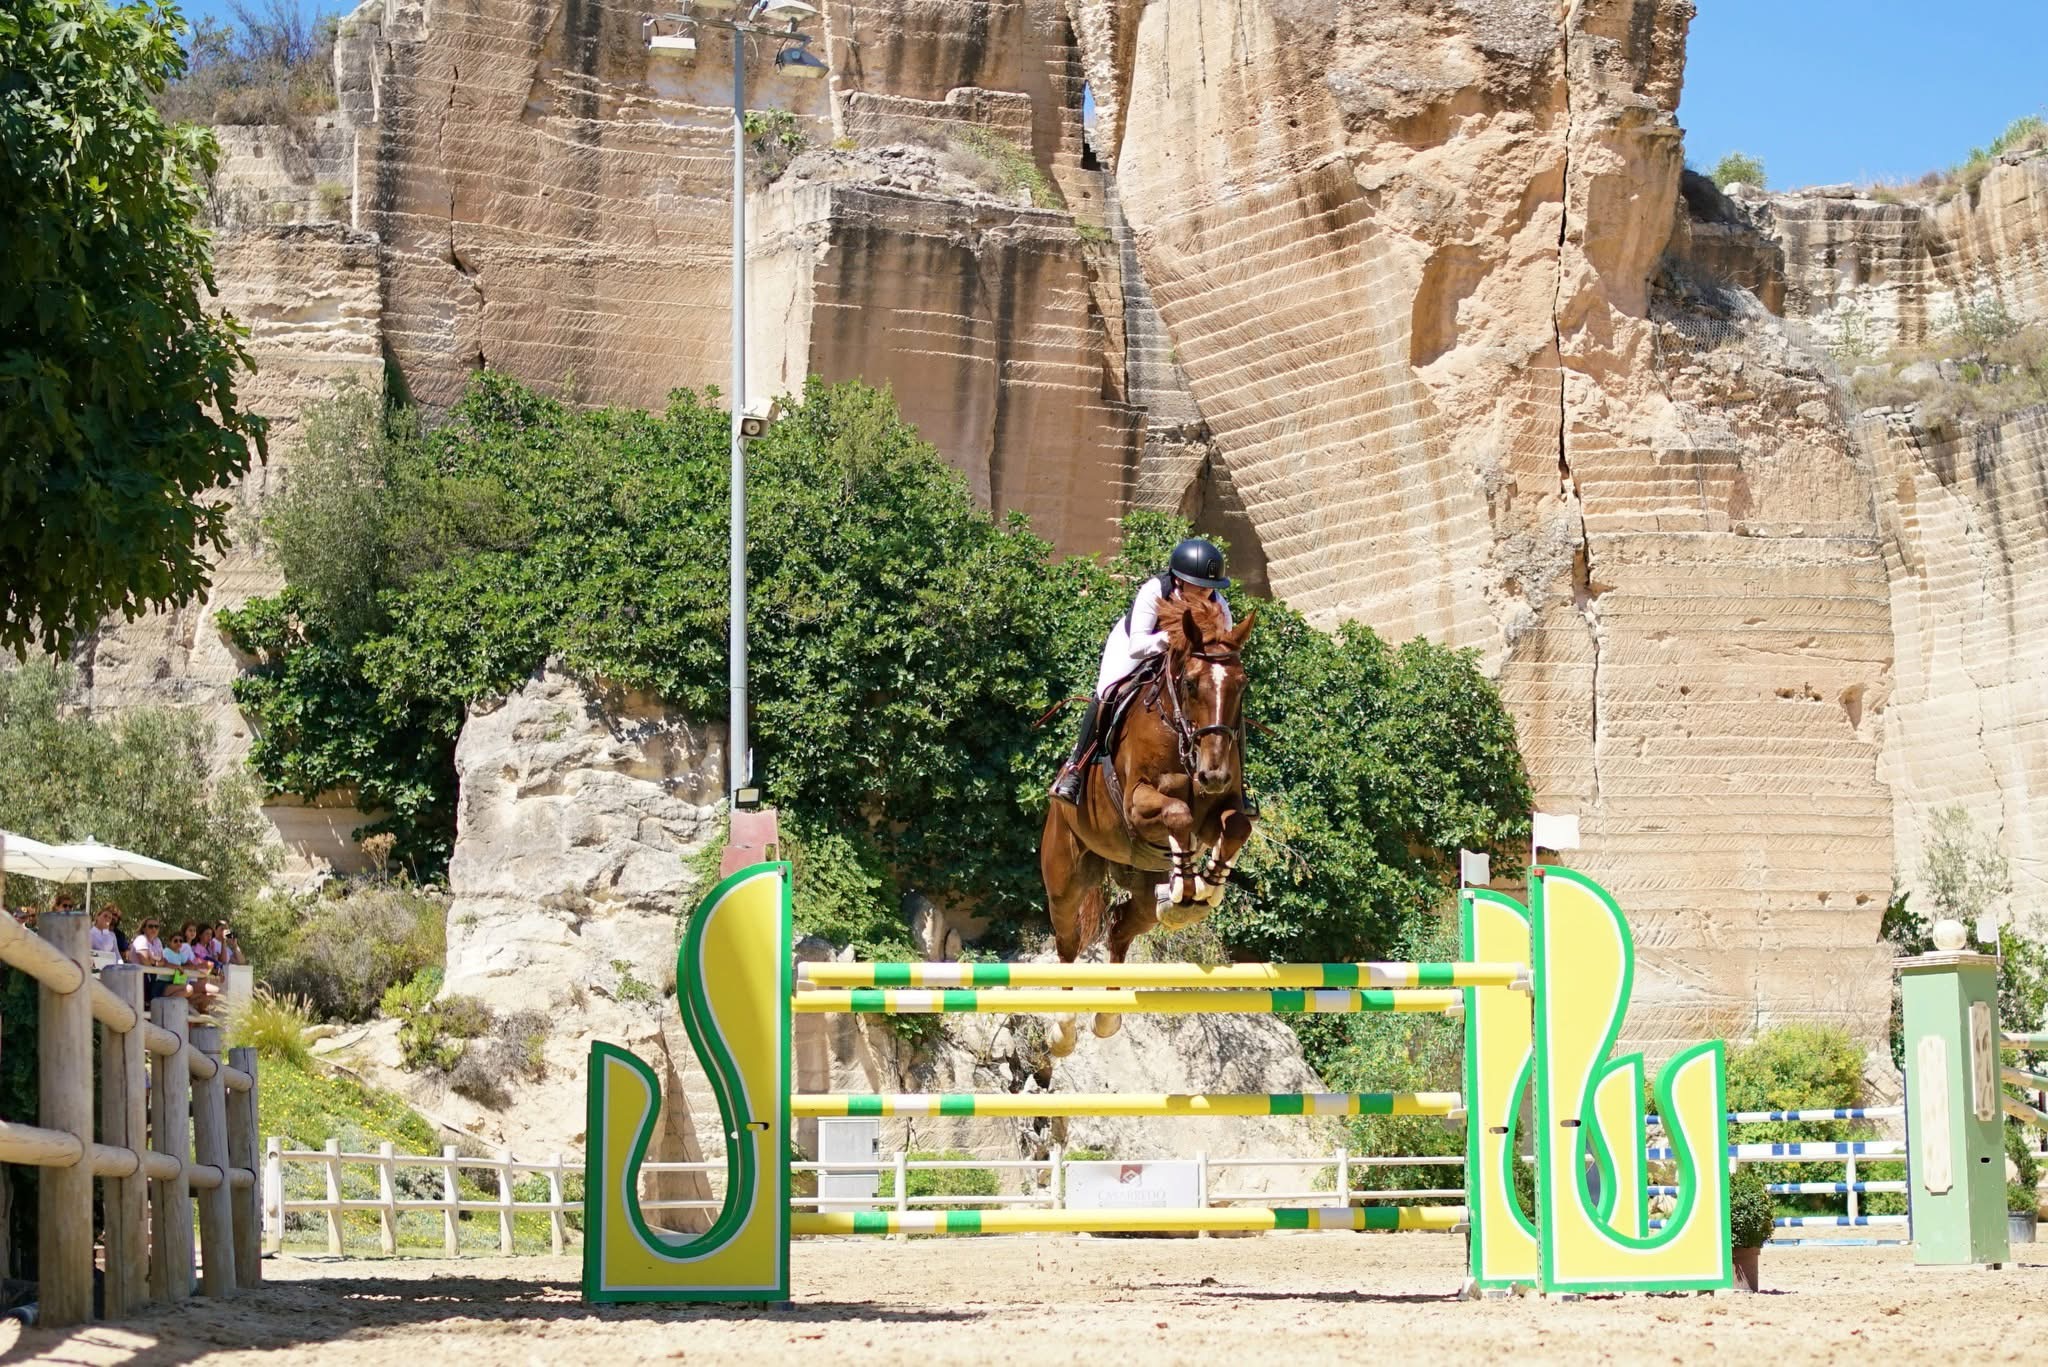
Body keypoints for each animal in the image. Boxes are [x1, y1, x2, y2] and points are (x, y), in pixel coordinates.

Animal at [1038, 590, 1257, 1056]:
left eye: (1242, 684)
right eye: (1191, 683)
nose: (1213, 774)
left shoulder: (1222, 808)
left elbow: (1235, 827)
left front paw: (1205, 888)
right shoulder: (1138, 805)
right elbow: (1178, 812)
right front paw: (1191, 888)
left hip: (1140, 885)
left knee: (1121, 927)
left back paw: (1108, 1016)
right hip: (1066, 875)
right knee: (1068, 940)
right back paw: (1063, 1031)